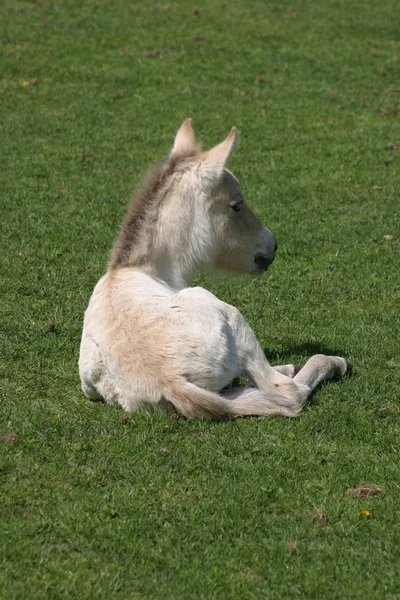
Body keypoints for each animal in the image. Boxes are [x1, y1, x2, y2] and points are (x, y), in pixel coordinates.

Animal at [79, 117, 350, 418]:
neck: (141, 270)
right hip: (231, 316)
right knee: (286, 391)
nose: (272, 248)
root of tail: (169, 380)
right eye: (236, 205)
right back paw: (333, 364)